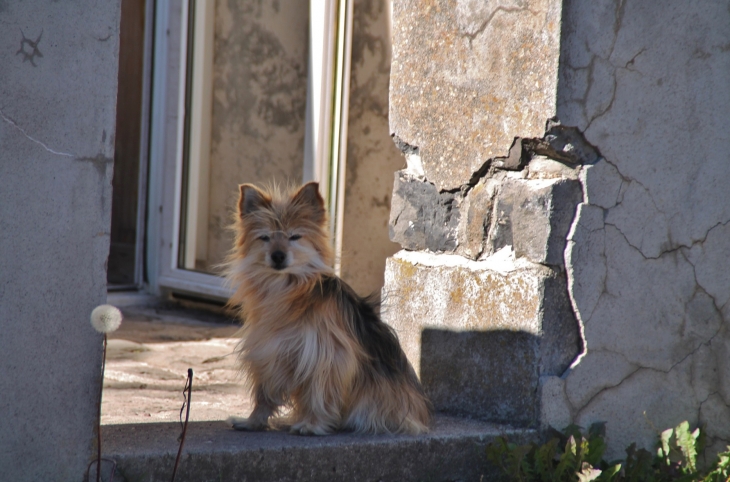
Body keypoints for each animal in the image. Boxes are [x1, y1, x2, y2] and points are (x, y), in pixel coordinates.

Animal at [225, 183, 430, 434]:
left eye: (294, 237)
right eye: (264, 237)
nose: (278, 256)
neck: (286, 289)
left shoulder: (327, 354)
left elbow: (319, 393)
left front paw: (312, 424)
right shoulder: (267, 350)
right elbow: (265, 393)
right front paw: (253, 421)